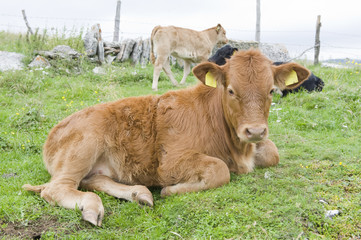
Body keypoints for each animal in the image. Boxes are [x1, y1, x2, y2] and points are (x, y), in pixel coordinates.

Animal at [23, 49, 310, 226]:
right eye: (230, 90)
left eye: (271, 90)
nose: (255, 131)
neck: (237, 149)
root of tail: (56, 129)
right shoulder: (168, 164)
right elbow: (219, 169)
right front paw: (172, 190)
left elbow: (272, 152)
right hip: (84, 145)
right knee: (55, 188)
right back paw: (92, 207)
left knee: (92, 180)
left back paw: (139, 194)